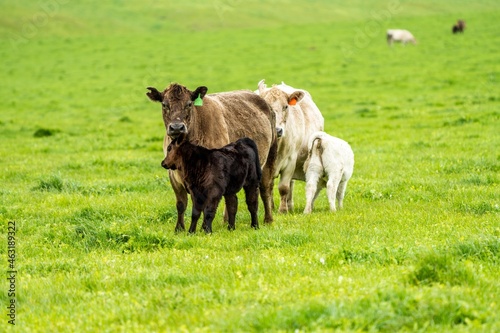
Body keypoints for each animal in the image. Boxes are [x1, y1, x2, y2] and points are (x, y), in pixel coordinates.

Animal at [146, 83, 278, 231]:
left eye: (189, 104)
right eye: (164, 104)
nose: (176, 127)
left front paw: (203, 228)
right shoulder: (173, 175)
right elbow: (181, 203)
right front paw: (179, 229)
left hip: (269, 157)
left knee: (265, 189)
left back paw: (268, 219)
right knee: (231, 198)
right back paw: (227, 222)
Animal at [258, 79, 324, 211]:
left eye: (286, 106)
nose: (277, 130)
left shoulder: (290, 161)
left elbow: (284, 187)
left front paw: (283, 210)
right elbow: (268, 185)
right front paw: (271, 207)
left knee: (290, 184)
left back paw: (289, 206)